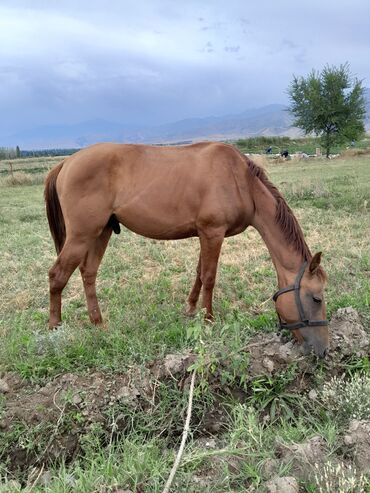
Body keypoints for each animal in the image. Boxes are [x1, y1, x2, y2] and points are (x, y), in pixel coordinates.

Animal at [44, 142, 330, 358]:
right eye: (317, 298)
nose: (324, 350)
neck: (240, 180)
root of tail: (66, 163)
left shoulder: (206, 234)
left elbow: (199, 274)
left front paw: (191, 309)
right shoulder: (213, 233)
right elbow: (210, 277)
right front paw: (208, 320)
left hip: (101, 232)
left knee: (88, 273)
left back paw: (98, 323)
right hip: (82, 235)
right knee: (57, 275)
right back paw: (55, 329)